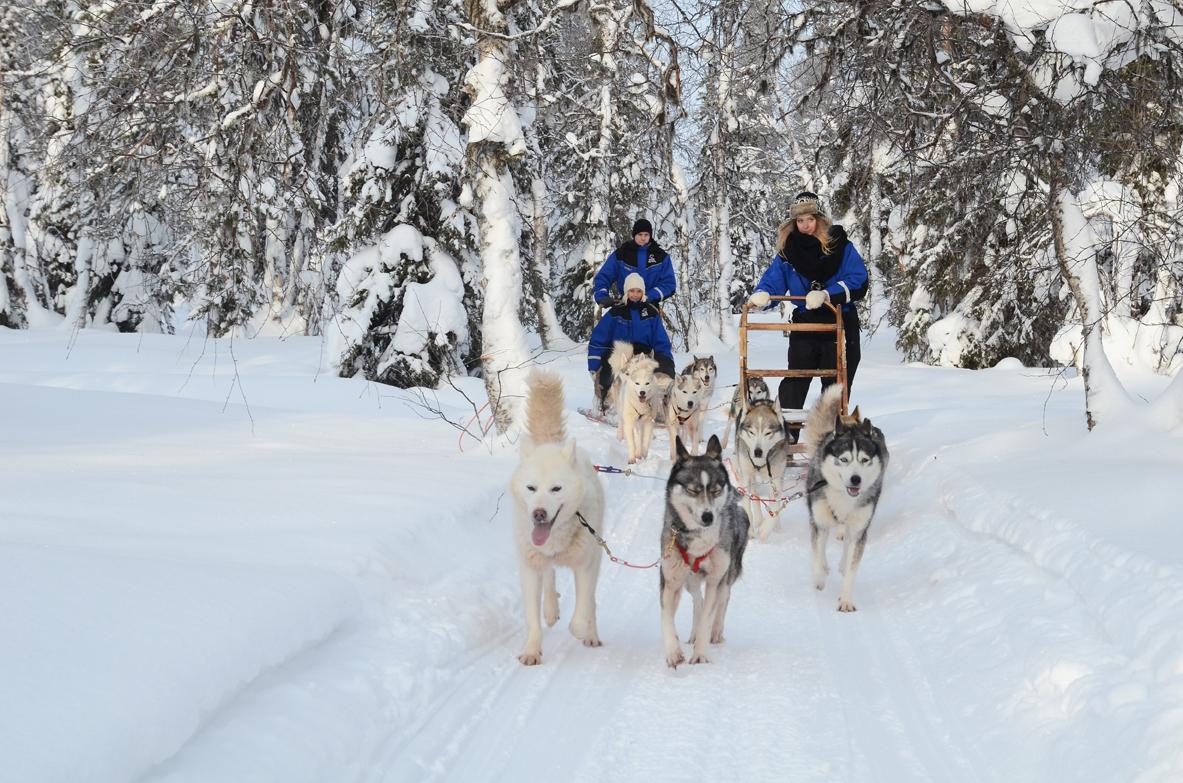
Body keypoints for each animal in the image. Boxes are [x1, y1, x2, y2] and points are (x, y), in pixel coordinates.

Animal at [508, 371, 605, 667]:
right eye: (531, 488)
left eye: (556, 489)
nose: (538, 513)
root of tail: (550, 444)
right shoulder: (529, 569)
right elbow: (532, 618)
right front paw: (531, 650)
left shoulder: (585, 566)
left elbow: (583, 609)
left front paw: (582, 630)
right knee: (549, 576)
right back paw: (551, 608)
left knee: (591, 601)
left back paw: (591, 635)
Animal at [662, 435, 742, 667]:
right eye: (693, 490)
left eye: (715, 490)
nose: (708, 516)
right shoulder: (671, 580)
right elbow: (666, 617)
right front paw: (673, 651)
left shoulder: (715, 579)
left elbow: (708, 616)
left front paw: (700, 653)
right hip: (690, 580)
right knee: (698, 600)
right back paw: (694, 634)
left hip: (726, 574)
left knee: (722, 600)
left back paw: (715, 632)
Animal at [733, 402, 790, 544]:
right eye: (751, 432)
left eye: (768, 433)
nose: (757, 451)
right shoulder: (746, 477)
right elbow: (747, 504)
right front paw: (750, 532)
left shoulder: (775, 478)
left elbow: (775, 505)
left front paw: (765, 530)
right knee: (754, 494)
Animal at [804, 383, 889, 615]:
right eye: (844, 459)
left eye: (865, 460)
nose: (856, 479)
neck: (842, 496)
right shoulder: (819, 521)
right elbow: (817, 553)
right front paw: (819, 577)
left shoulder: (860, 529)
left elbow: (852, 566)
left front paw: (846, 600)